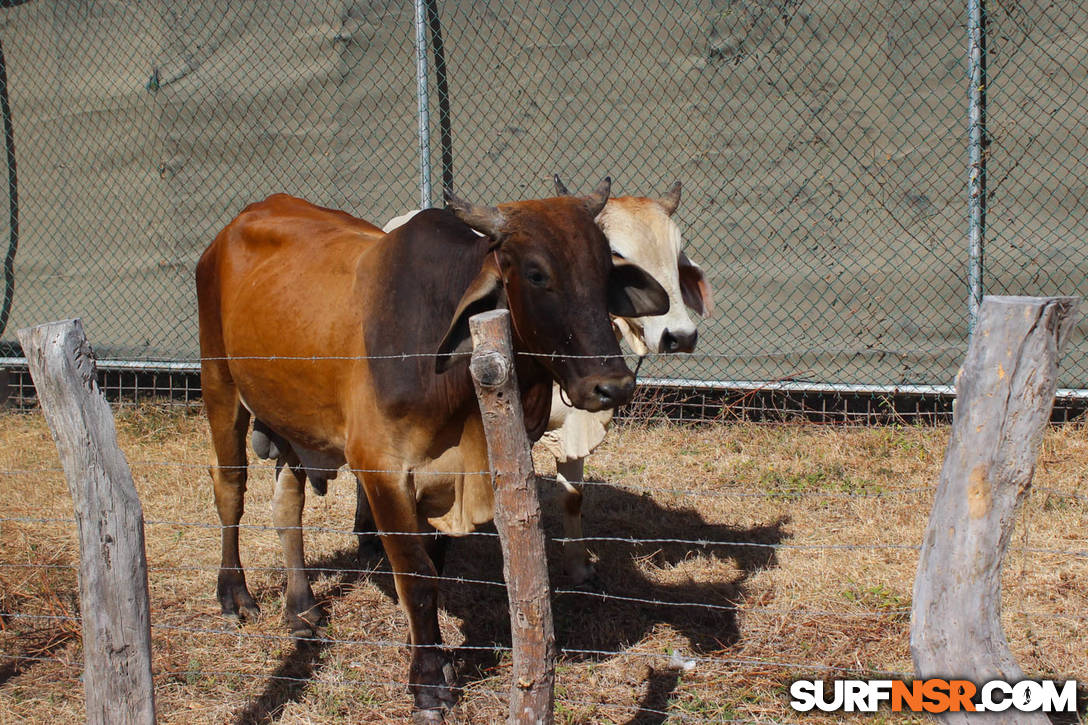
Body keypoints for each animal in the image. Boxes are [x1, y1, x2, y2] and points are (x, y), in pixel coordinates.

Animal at [199, 181, 665, 718]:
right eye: (535, 273)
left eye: (605, 270)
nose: (613, 385)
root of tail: (242, 218)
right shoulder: (381, 470)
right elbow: (416, 577)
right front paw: (426, 682)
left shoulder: (445, 477)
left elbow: (435, 567)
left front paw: (435, 654)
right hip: (219, 381)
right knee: (230, 488)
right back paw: (234, 594)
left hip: (294, 419)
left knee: (286, 505)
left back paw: (301, 609)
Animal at [382, 177, 713, 583]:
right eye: (618, 251)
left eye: (677, 254)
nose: (680, 336)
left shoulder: (575, 424)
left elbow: (573, 496)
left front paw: (579, 567)